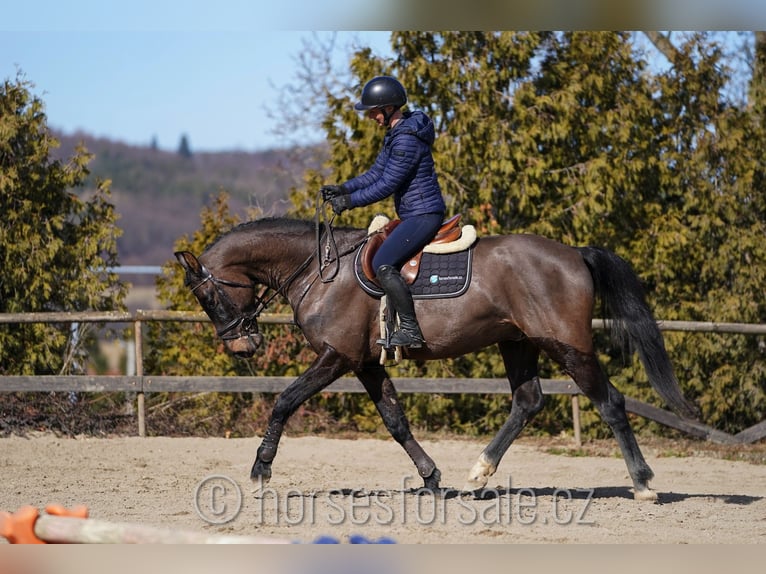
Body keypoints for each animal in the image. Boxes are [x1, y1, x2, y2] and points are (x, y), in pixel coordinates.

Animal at [176, 214, 704, 502]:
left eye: (207, 297)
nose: (242, 345)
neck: (319, 270)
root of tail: (574, 253)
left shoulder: (335, 358)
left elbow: (284, 401)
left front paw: (261, 469)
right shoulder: (366, 364)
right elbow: (395, 421)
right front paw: (430, 477)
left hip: (567, 346)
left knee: (610, 401)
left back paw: (643, 483)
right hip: (518, 343)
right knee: (528, 401)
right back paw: (480, 471)